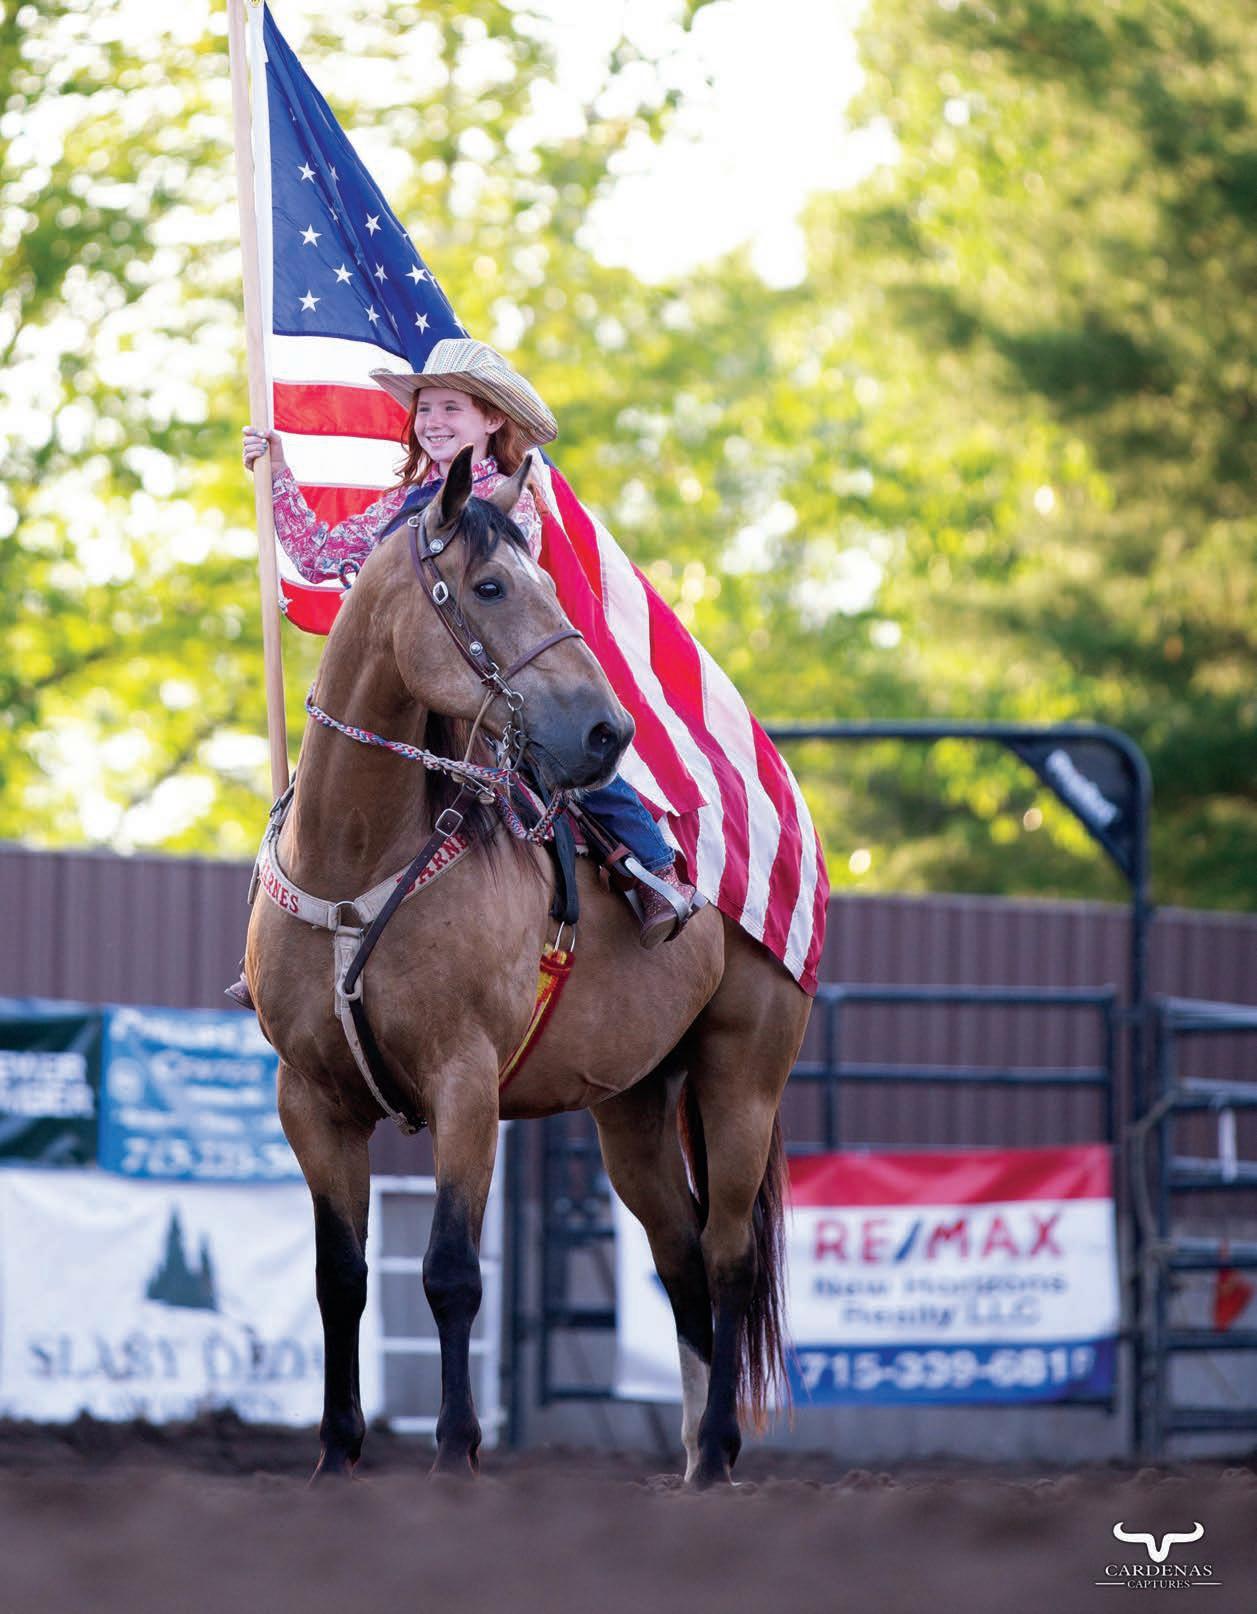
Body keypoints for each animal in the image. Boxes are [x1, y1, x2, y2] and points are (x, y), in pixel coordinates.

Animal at [246, 446, 813, 1485]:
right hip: (632, 1109)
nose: (607, 733)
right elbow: (339, 1278)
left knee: (725, 1258)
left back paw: (716, 1450)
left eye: (549, 581)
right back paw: (690, 1461)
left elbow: (449, 1274)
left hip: (741, 1082)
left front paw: (455, 1452)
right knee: (678, 1258)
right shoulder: (309, 1099)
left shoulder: (464, 1087)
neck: (352, 862)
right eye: (489, 585)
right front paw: (337, 1454)